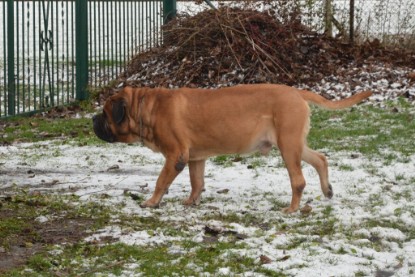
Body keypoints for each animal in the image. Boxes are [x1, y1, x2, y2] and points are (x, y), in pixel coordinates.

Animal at [94, 83, 374, 212]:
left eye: (106, 114)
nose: (93, 119)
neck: (146, 108)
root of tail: (296, 92)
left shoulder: (176, 155)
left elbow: (161, 181)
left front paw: (151, 202)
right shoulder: (195, 158)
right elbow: (197, 182)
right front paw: (191, 201)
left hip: (288, 146)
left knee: (298, 180)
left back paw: (292, 208)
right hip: (294, 144)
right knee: (320, 159)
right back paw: (327, 190)